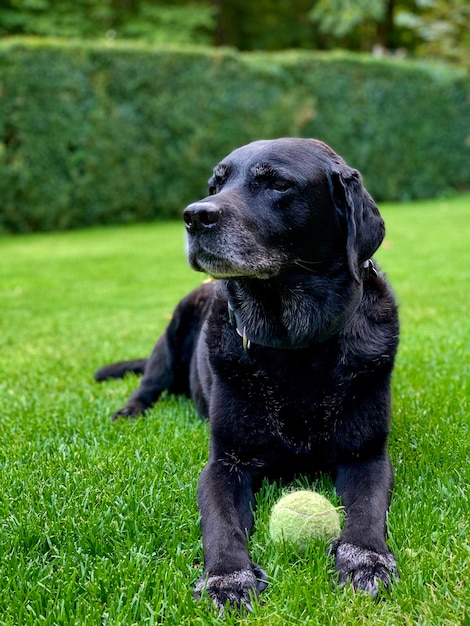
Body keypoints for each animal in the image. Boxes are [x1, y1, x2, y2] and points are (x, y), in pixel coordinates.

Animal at [96, 136, 400, 608]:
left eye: (276, 183)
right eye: (215, 184)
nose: (195, 215)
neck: (296, 347)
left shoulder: (365, 456)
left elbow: (366, 511)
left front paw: (365, 558)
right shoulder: (224, 463)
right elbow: (221, 522)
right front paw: (227, 577)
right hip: (171, 334)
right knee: (148, 384)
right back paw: (130, 412)